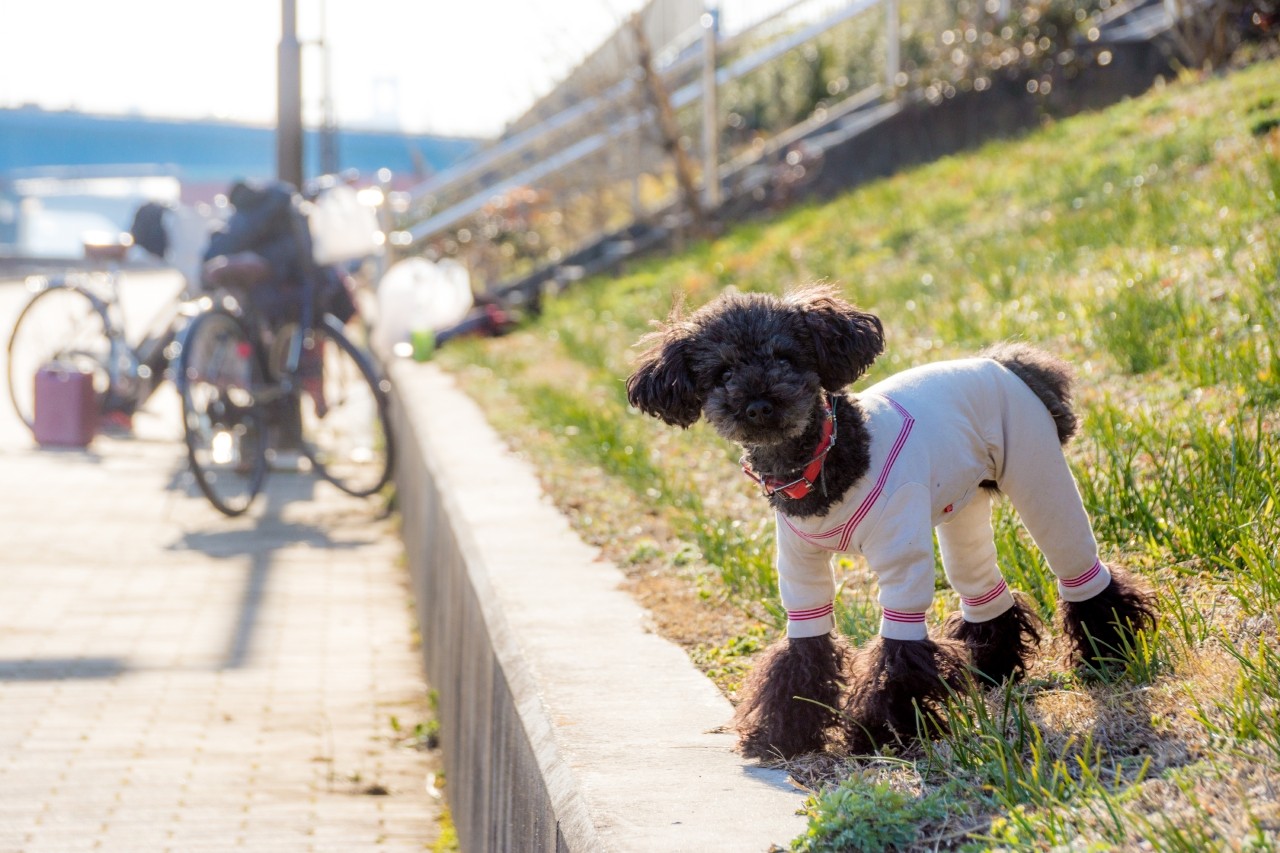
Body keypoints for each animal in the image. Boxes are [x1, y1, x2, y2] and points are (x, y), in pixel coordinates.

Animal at [626, 284, 1157, 759]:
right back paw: (991, 669)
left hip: (1037, 473)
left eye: (786, 358)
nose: (758, 406)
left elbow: (896, 657)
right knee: (984, 591)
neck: (821, 461)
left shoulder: (902, 557)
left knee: (1083, 573)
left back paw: (1109, 654)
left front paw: (883, 733)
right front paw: (784, 733)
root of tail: (1004, 363)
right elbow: (803, 651)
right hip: (962, 509)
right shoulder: (800, 569)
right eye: (722, 372)